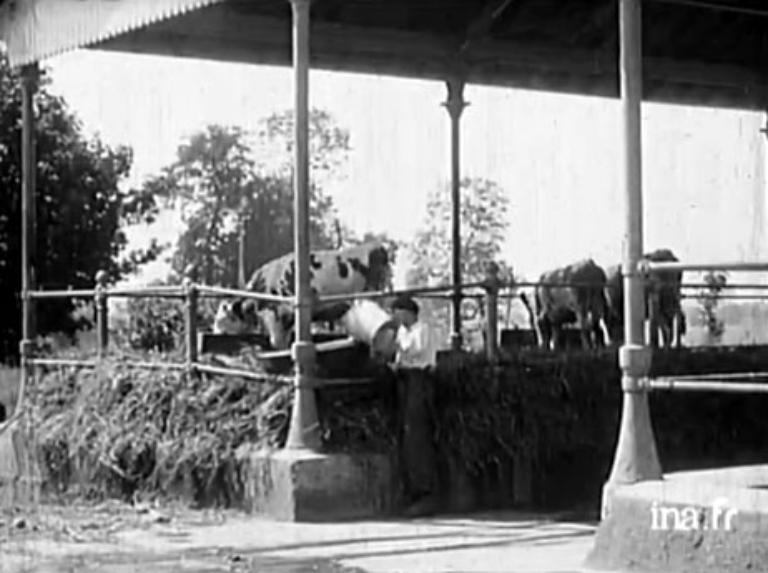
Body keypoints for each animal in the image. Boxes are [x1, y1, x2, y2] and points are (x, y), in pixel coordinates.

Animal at [214, 241, 396, 348]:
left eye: (221, 317)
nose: (214, 332)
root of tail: (377, 247)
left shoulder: (276, 315)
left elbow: (276, 342)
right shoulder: (287, 320)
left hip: (372, 296)